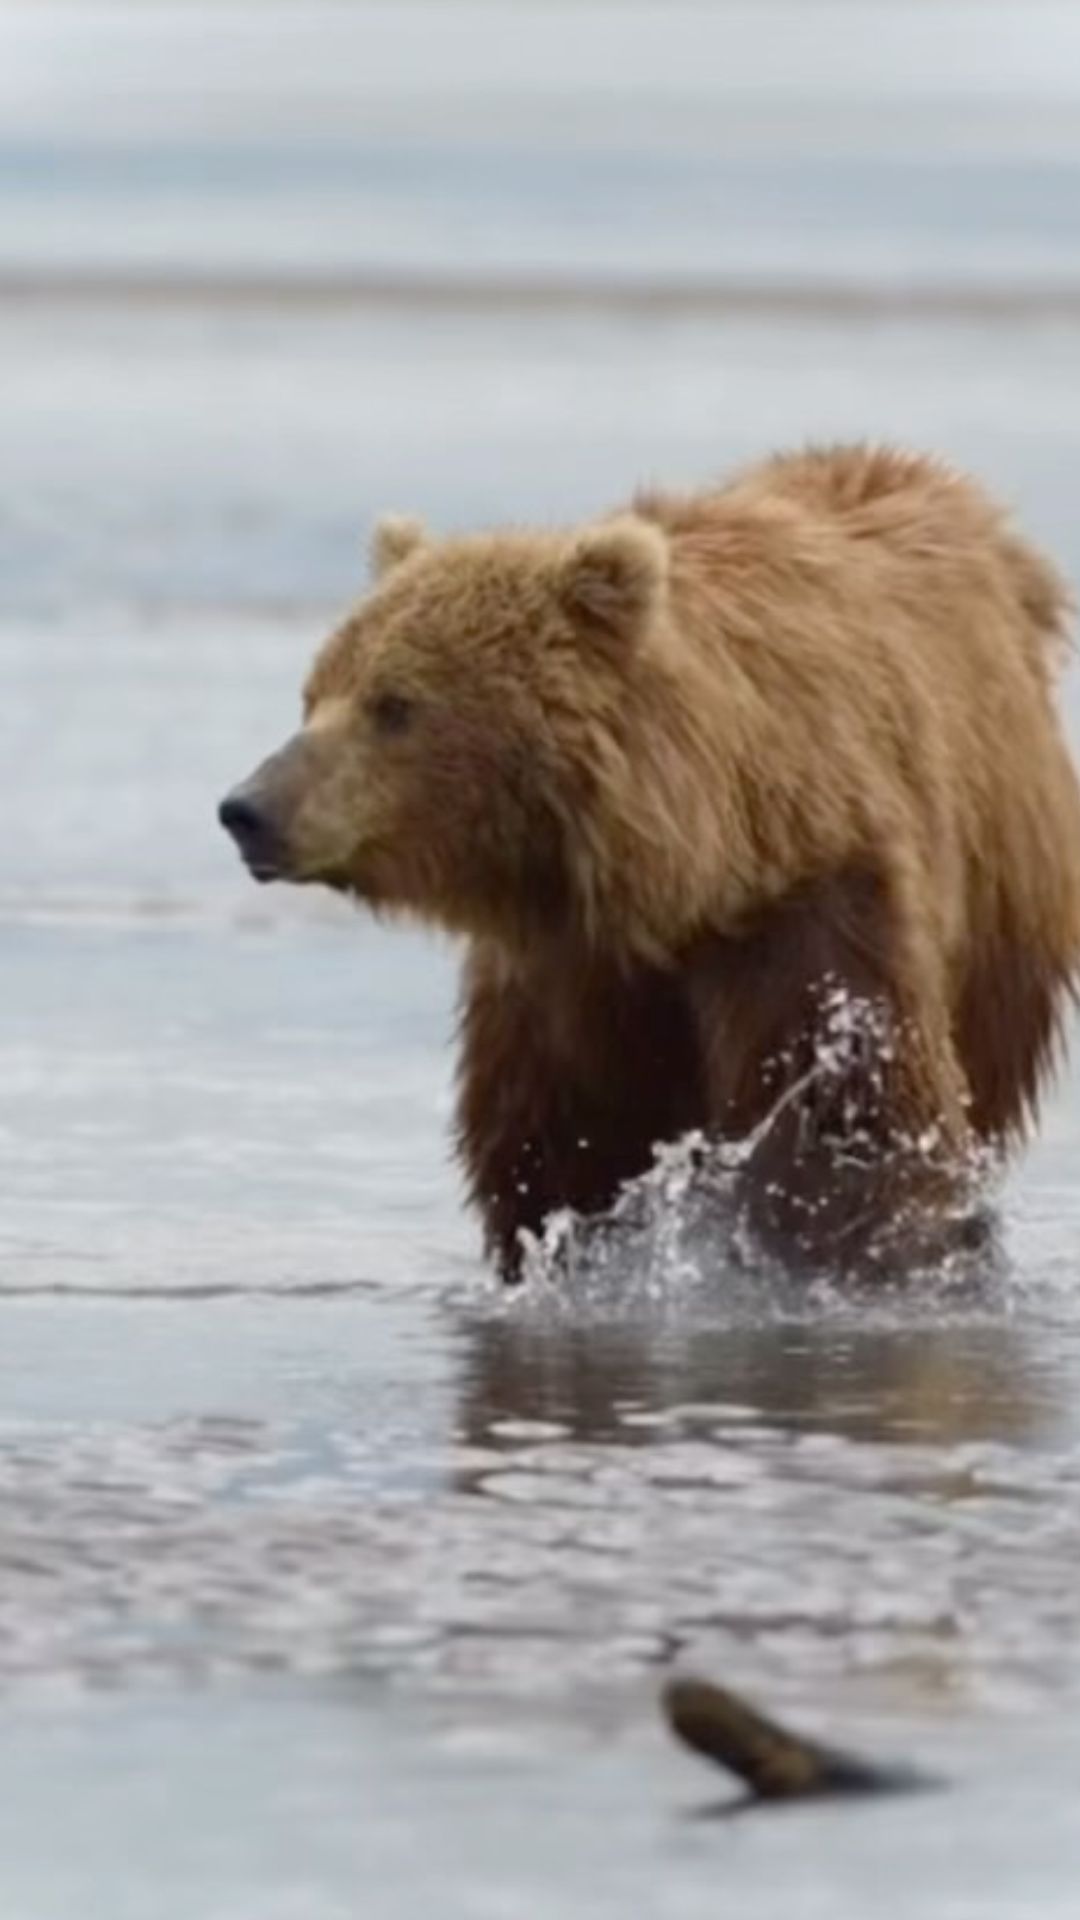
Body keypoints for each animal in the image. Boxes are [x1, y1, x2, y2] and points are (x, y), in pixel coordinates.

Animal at [219, 444, 1080, 1280]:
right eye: (313, 694)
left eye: (394, 704)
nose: (248, 810)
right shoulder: (569, 973)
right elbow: (562, 1148)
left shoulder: (815, 908)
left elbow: (845, 1122)